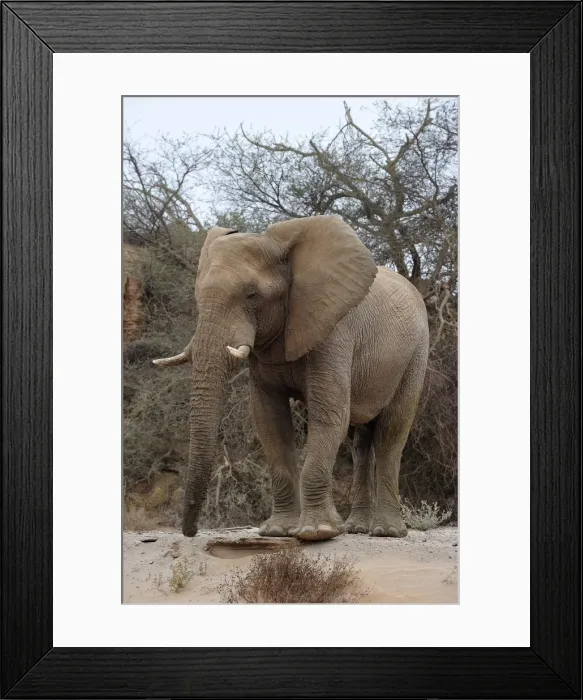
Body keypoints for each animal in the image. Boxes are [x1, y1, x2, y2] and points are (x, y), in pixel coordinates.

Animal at [152, 214, 429, 541]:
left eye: (252, 296)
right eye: (198, 298)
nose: (191, 532)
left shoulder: (333, 330)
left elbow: (328, 415)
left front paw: (316, 532)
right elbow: (269, 420)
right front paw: (278, 531)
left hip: (417, 352)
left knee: (391, 432)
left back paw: (386, 532)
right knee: (360, 443)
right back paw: (356, 528)